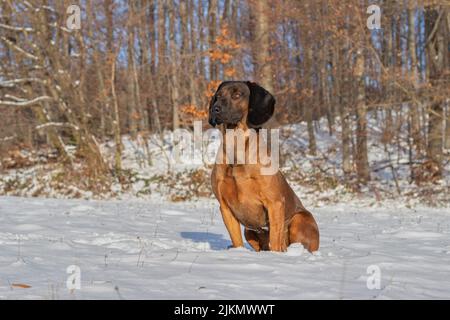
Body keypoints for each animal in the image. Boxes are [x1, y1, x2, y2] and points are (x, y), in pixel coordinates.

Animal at [208, 82, 320, 252]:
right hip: (249, 230)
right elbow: (237, 241)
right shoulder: (225, 207)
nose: (215, 109)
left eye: (237, 95)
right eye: (218, 96)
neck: (237, 151)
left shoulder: (275, 203)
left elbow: (275, 240)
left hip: (299, 219)